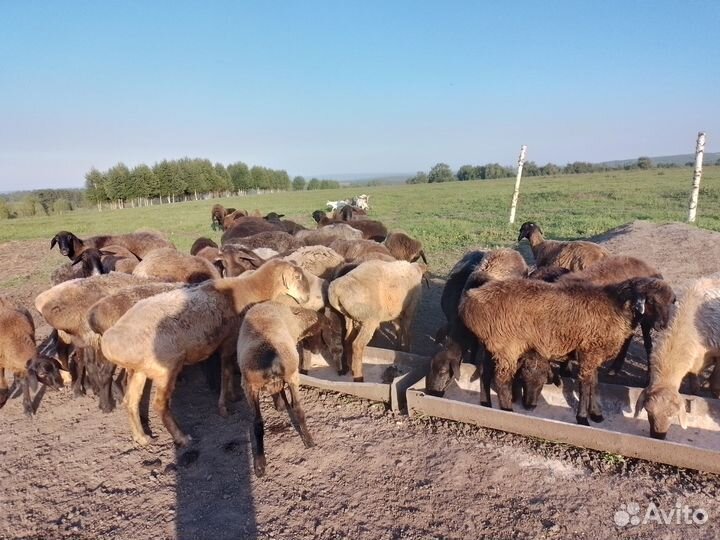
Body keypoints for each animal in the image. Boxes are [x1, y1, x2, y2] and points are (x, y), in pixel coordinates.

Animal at [100, 259, 311, 446]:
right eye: (298, 276)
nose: (307, 298)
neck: (251, 288)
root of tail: (109, 341)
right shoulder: (229, 342)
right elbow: (226, 372)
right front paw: (224, 406)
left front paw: (232, 397)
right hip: (165, 369)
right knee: (159, 405)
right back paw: (182, 438)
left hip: (139, 370)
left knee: (130, 400)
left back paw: (141, 438)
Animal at [237, 302, 343, 476]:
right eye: (325, 332)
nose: (316, 350)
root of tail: (271, 358)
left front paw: (279, 404)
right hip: (284, 377)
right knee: (298, 409)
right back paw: (309, 441)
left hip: (250, 386)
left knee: (258, 422)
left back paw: (260, 464)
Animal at [459, 276, 675, 424]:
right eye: (651, 301)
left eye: (670, 302)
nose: (663, 325)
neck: (615, 307)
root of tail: (470, 301)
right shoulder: (589, 351)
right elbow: (585, 386)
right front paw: (583, 418)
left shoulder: (593, 353)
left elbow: (594, 384)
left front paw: (596, 414)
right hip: (507, 346)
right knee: (502, 380)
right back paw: (507, 411)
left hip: (492, 345)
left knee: (485, 374)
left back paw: (486, 404)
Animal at [634, 277, 720, 439]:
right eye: (648, 411)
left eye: (672, 415)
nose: (658, 436)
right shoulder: (693, 361)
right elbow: (694, 386)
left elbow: (714, 384)